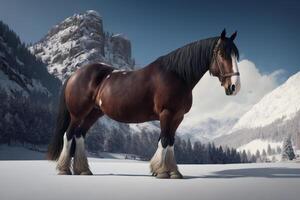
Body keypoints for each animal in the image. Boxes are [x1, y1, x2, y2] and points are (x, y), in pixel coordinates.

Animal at [47, 28, 240, 179]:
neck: (177, 75)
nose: (234, 86)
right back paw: (64, 169)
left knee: (79, 135)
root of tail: (75, 74)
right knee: (69, 134)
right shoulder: (166, 113)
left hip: (93, 113)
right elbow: (164, 140)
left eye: (236, 55)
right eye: (221, 54)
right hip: (78, 113)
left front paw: (173, 172)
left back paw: (83, 170)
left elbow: (170, 141)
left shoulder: (178, 116)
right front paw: (162, 172)